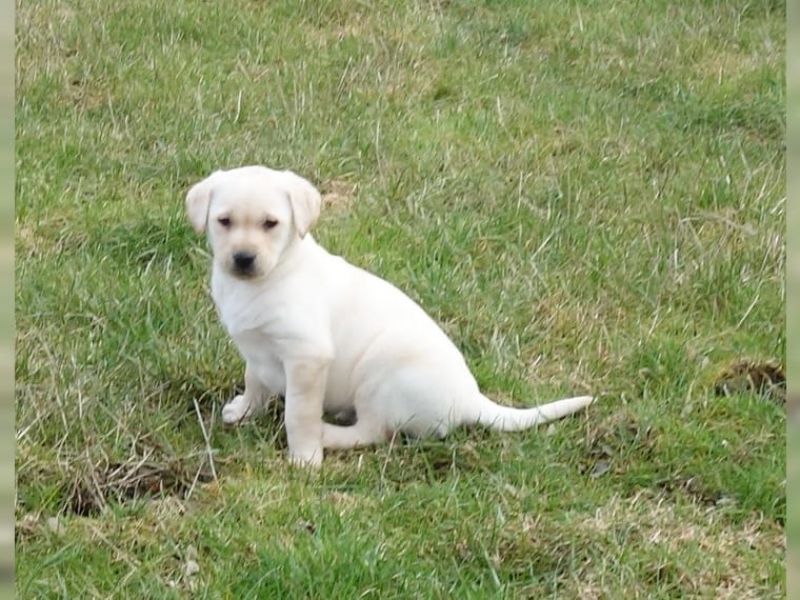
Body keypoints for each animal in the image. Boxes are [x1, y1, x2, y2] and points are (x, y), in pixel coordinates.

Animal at [186, 166, 593, 466]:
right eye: (224, 221)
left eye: (271, 224)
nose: (243, 258)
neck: (272, 275)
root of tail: (471, 400)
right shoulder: (256, 349)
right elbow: (254, 380)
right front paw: (244, 411)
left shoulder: (306, 356)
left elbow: (298, 413)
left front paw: (304, 457)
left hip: (379, 377)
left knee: (373, 432)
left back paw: (328, 435)